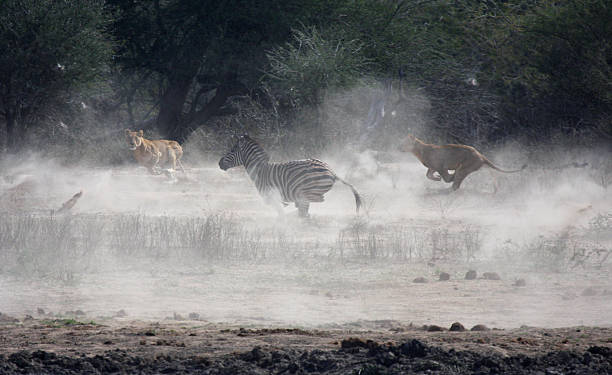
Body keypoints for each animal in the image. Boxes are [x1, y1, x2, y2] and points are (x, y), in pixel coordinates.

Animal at [218, 134, 360, 217]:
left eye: (232, 150)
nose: (219, 163)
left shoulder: (272, 197)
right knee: (305, 211)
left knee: (310, 206)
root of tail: (331, 170)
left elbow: (281, 214)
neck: (259, 170)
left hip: (307, 191)